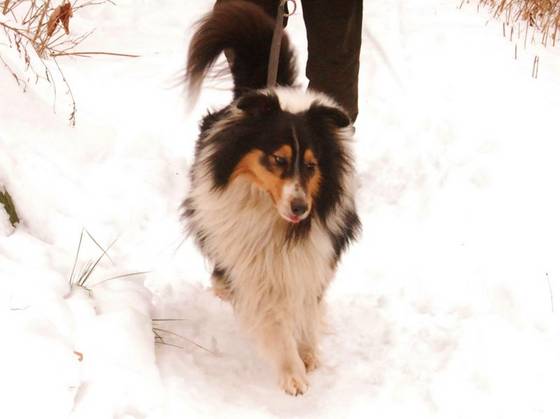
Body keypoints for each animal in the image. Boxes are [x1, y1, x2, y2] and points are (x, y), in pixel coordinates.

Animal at [183, 0, 360, 395]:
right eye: (278, 159)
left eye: (311, 165)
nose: (301, 207)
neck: (272, 215)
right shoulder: (252, 263)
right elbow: (272, 317)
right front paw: (293, 374)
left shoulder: (313, 255)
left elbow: (307, 304)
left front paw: (307, 353)